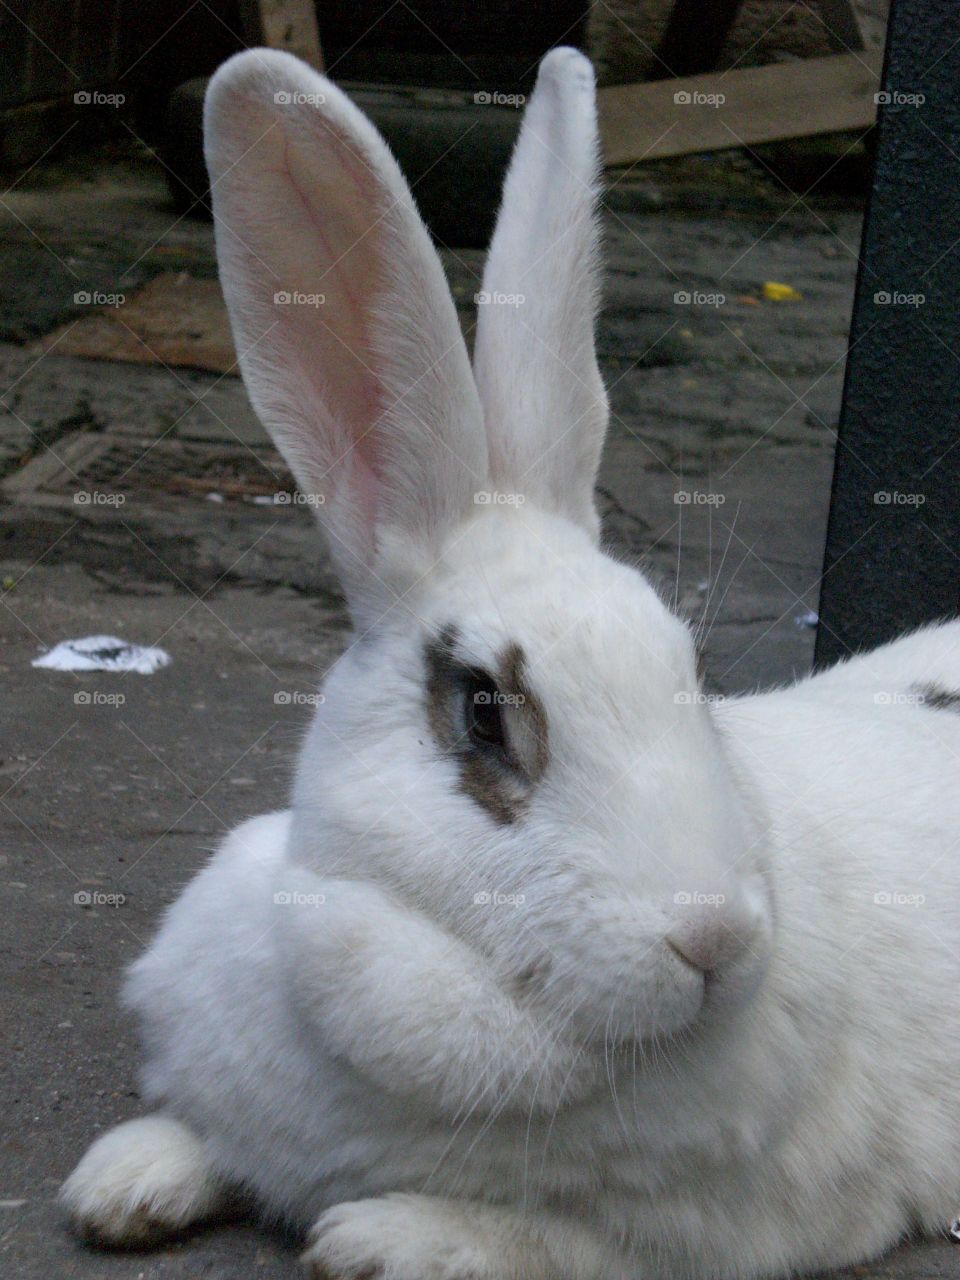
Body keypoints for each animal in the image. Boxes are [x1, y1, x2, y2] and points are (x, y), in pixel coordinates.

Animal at [60, 44, 960, 1280]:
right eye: (483, 709)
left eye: (694, 677)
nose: (717, 940)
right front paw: (120, 1180)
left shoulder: (714, 1229)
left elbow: (543, 1241)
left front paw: (378, 1238)